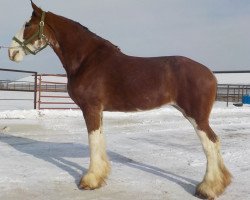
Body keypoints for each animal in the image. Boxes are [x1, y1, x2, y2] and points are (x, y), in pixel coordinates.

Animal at [8, 1, 230, 200]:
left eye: (27, 24)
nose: (11, 52)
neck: (87, 60)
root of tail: (210, 74)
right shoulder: (98, 110)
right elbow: (99, 140)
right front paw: (100, 177)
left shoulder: (90, 108)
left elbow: (93, 141)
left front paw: (89, 181)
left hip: (196, 117)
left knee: (210, 144)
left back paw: (207, 189)